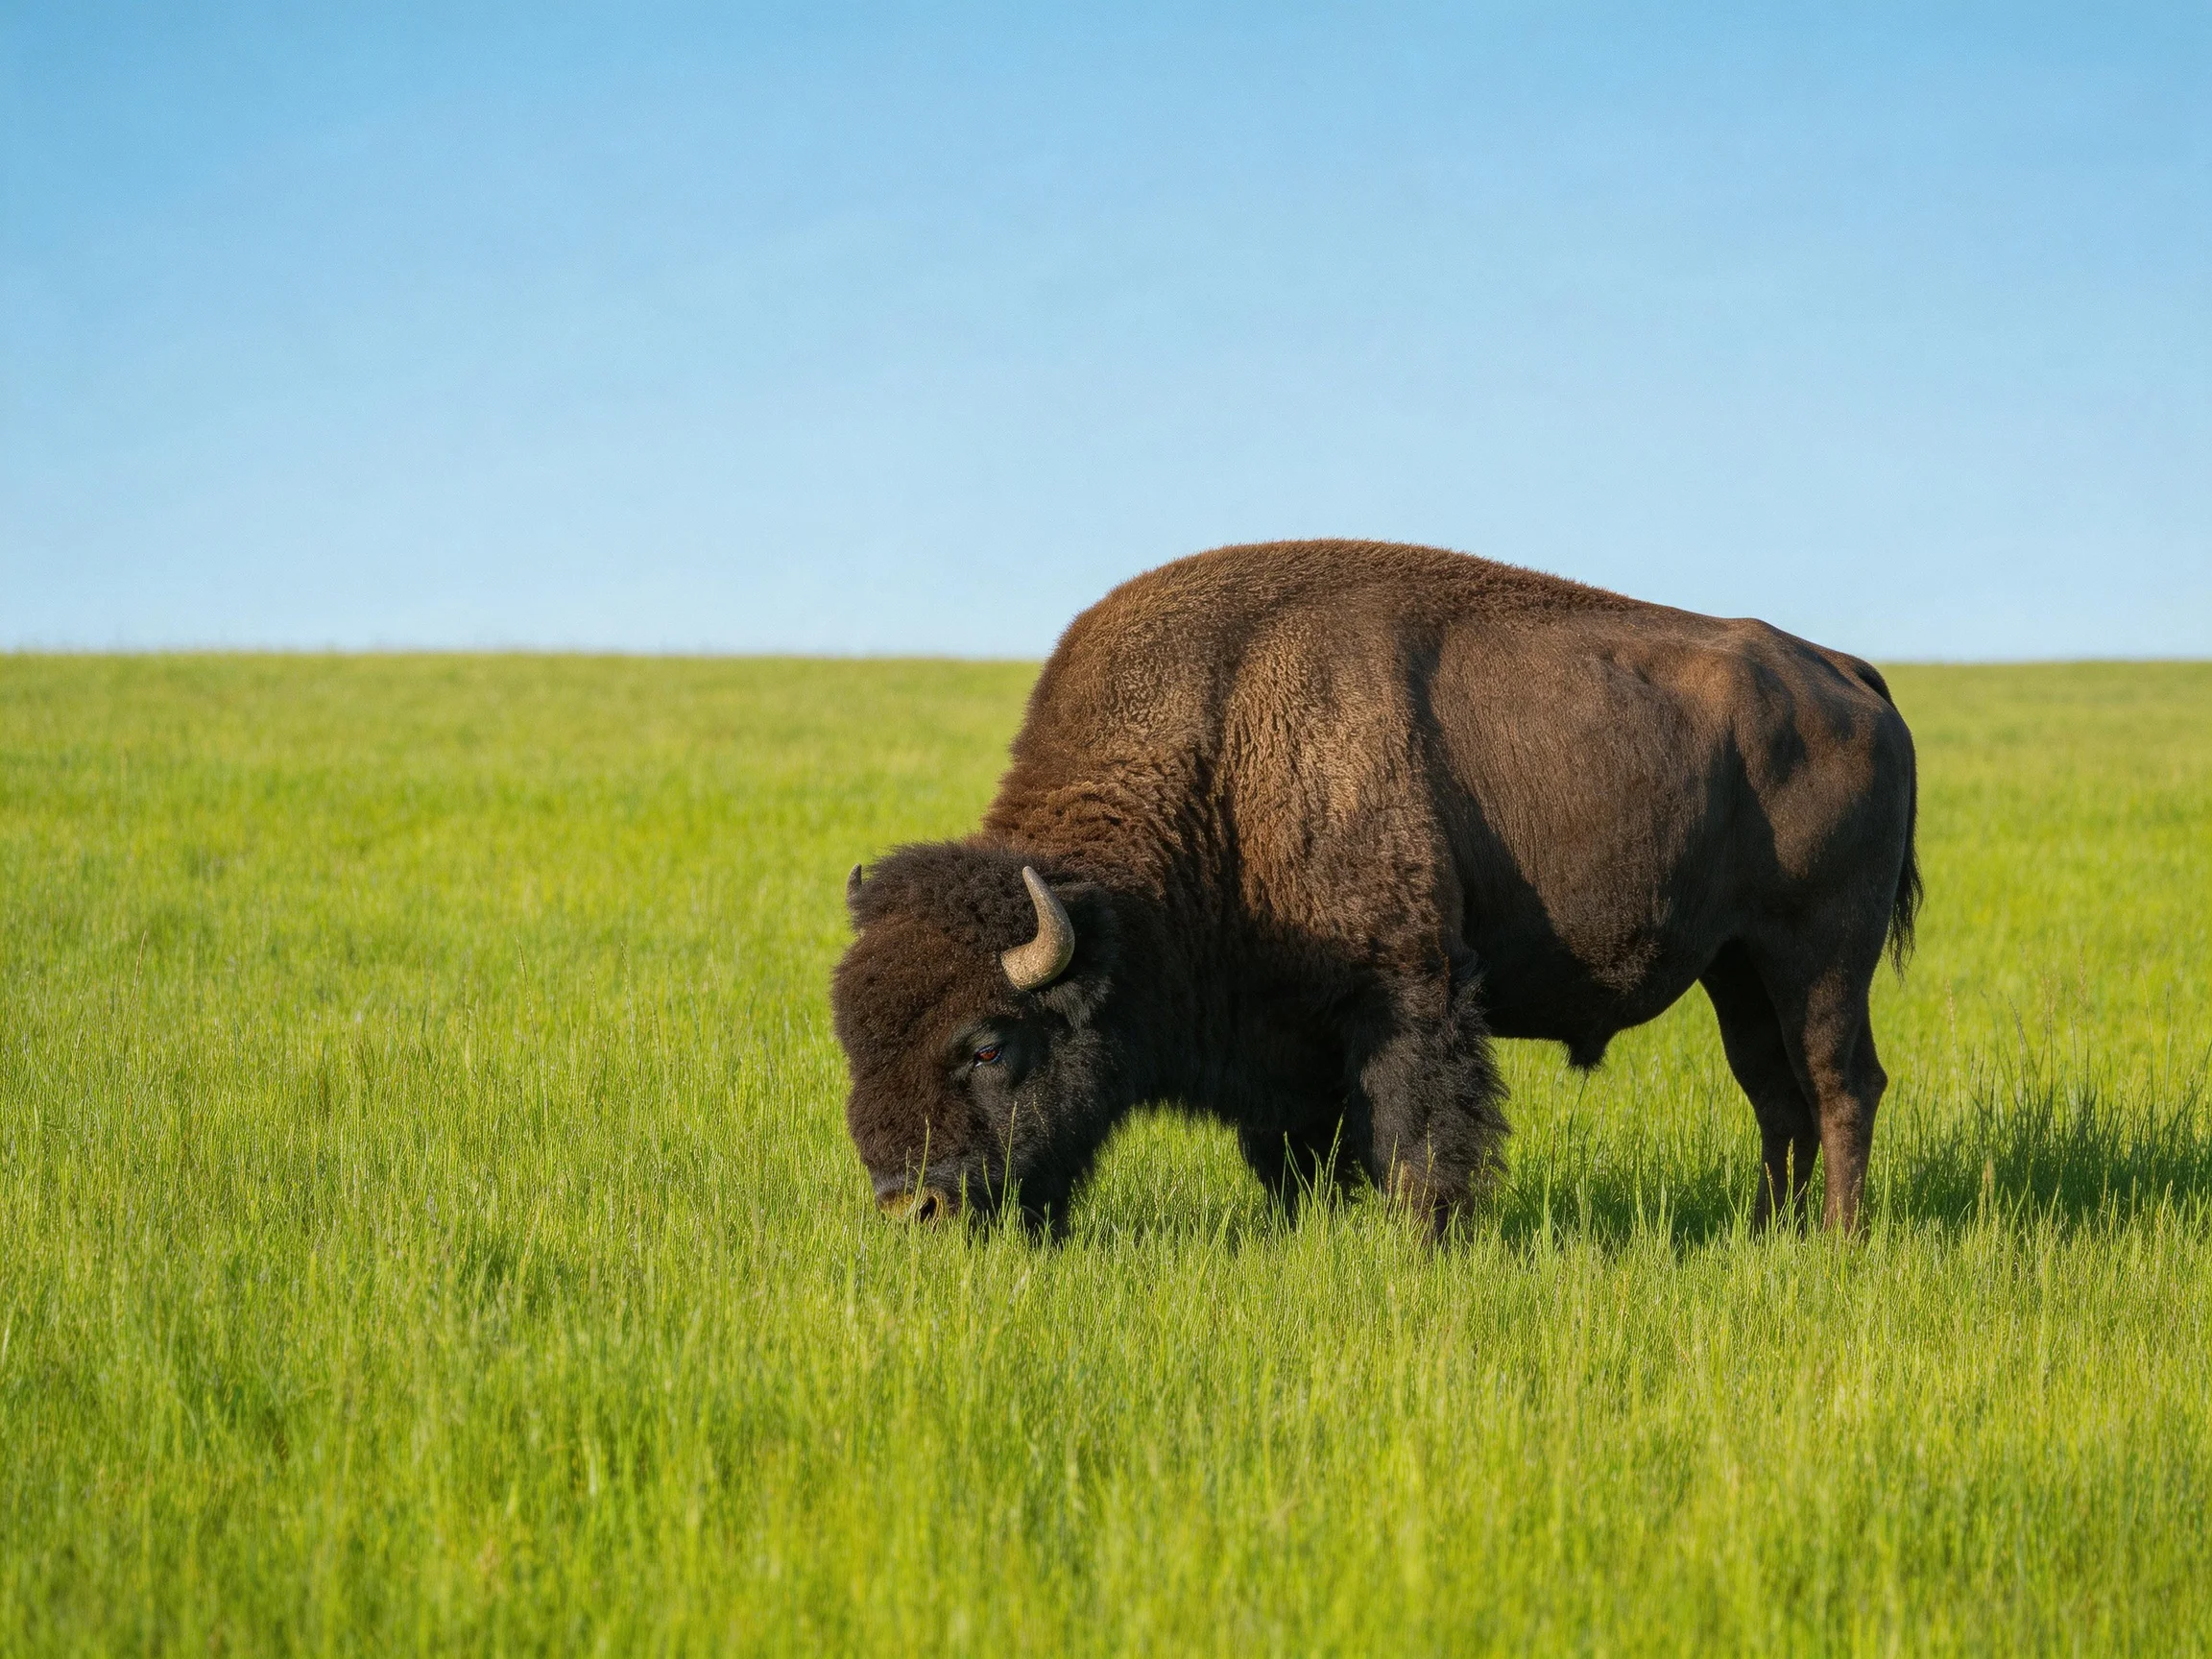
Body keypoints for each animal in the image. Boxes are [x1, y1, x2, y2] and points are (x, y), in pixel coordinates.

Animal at [832, 540, 1920, 1236]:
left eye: (988, 1042)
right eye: (853, 1038)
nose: (910, 1206)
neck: (1215, 759)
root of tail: (1849, 675)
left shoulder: (1408, 989)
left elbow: (1419, 1138)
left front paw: (1425, 1243)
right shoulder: (1285, 1040)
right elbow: (1298, 1155)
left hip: (1820, 951)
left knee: (1840, 1084)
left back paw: (1837, 1244)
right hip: (1736, 967)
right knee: (1774, 1093)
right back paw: (1770, 1234)